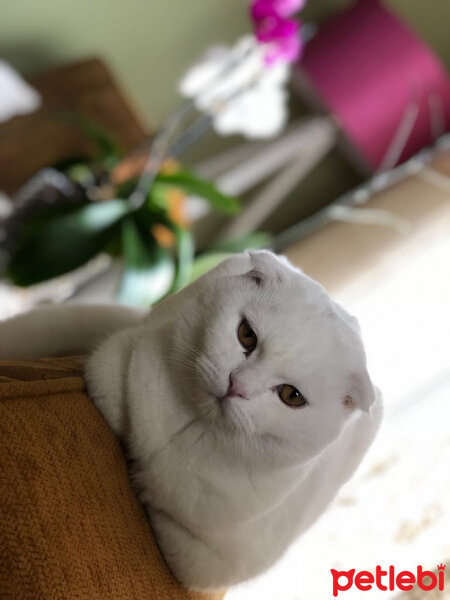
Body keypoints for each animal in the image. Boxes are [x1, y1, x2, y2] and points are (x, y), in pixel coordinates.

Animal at [0, 250, 384, 592]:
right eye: (246, 334)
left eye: (292, 396)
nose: (236, 385)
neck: (187, 428)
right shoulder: (112, 364)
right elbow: (116, 404)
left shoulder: (204, 563)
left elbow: (163, 518)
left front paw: (144, 482)